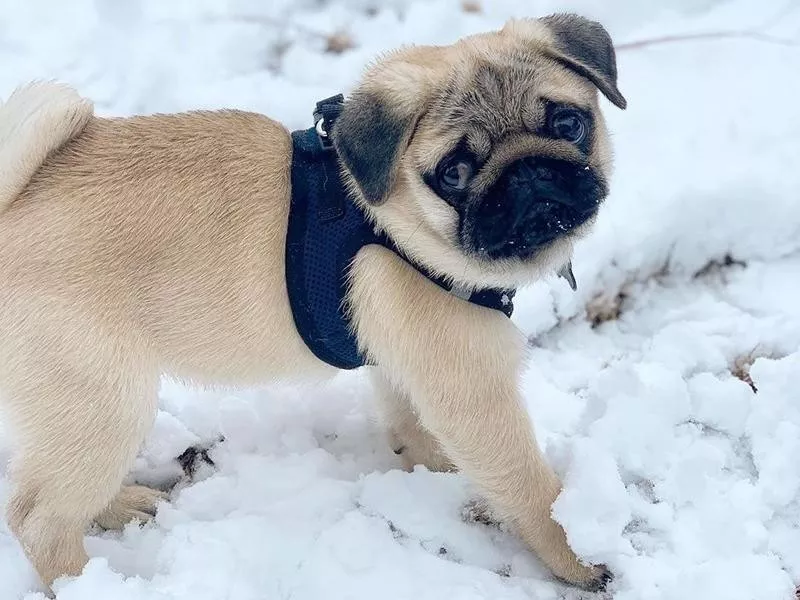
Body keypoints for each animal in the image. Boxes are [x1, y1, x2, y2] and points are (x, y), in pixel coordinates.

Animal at [0, 11, 624, 592]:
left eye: (569, 123)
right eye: (455, 173)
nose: (528, 175)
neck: (396, 222)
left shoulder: (407, 367)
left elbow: (417, 431)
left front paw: (438, 477)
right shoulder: (476, 392)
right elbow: (532, 490)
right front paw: (579, 556)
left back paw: (117, 507)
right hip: (105, 400)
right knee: (40, 519)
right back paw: (86, 582)